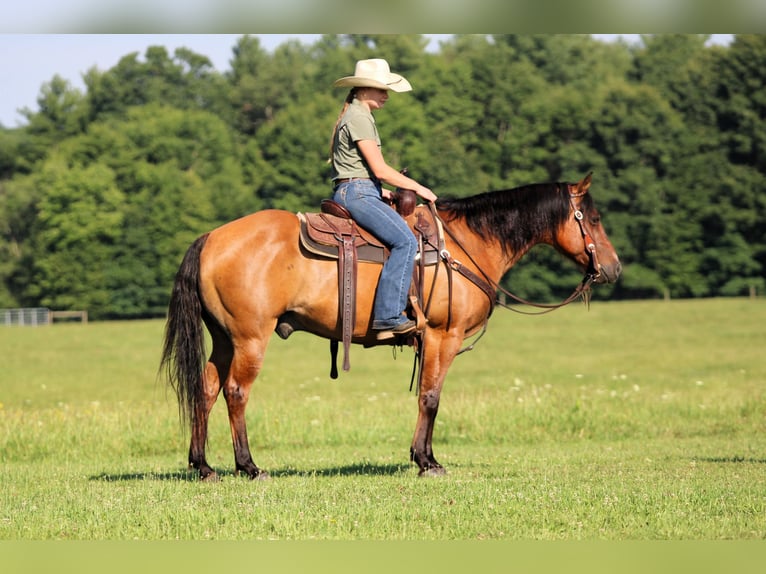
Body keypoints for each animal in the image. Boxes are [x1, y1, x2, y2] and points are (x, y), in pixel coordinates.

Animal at [160, 173, 621, 480]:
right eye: (594, 217)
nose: (614, 268)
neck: (466, 244)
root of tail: (211, 238)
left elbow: (425, 397)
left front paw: (421, 456)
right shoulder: (442, 335)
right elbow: (431, 397)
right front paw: (427, 461)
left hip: (224, 339)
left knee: (206, 390)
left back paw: (203, 466)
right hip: (250, 338)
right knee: (236, 393)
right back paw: (248, 466)